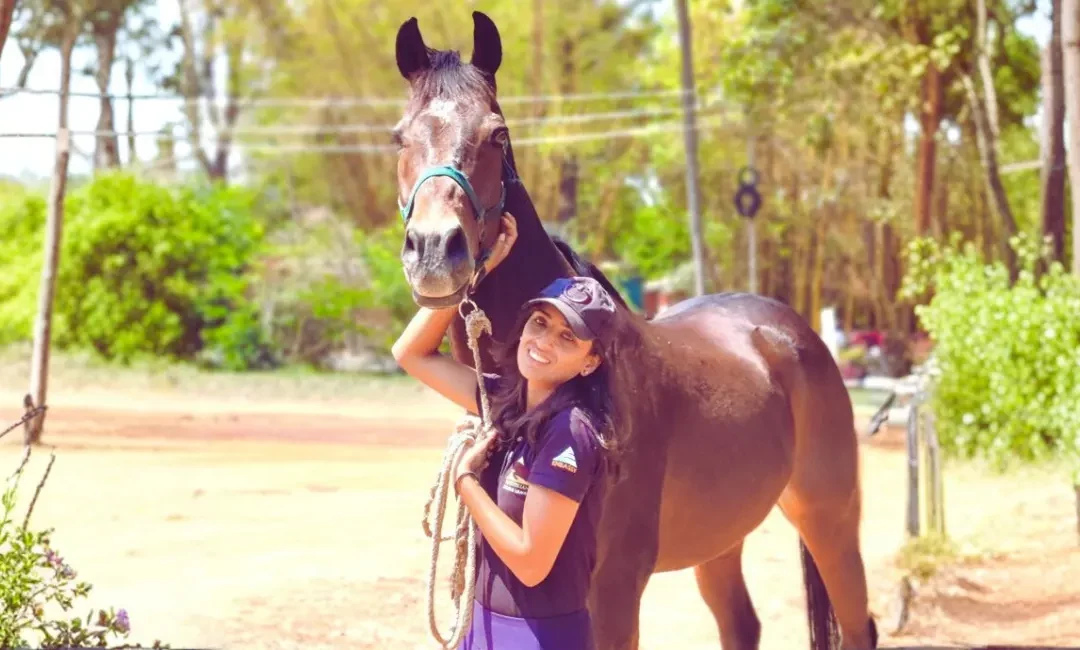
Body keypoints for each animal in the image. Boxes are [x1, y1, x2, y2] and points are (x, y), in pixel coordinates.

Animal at [390, 12, 878, 650]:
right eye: (399, 137)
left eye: (497, 135)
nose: (433, 251)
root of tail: (789, 332)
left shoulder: (616, 585)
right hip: (721, 535)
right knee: (741, 623)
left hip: (830, 520)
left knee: (857, 623)